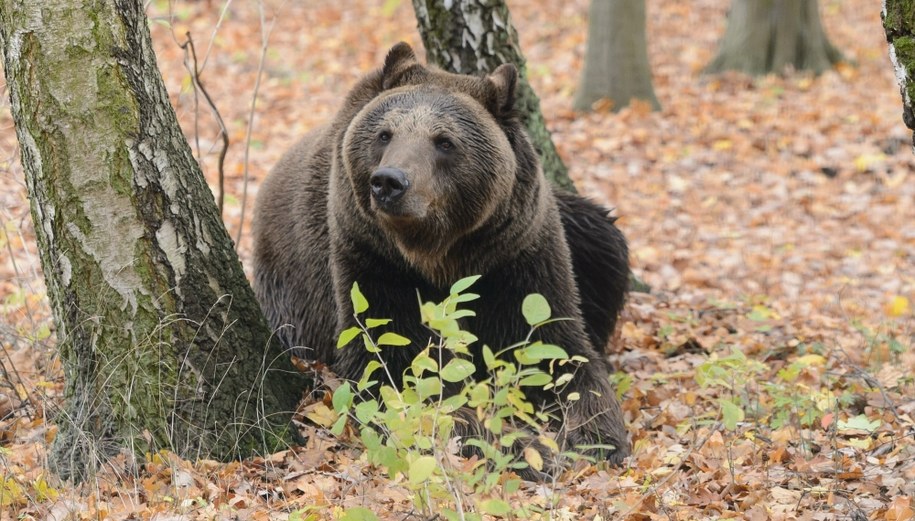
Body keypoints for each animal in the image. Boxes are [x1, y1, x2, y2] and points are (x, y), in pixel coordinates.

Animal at [254, 43, 632, 468]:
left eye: (444, 141)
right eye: (384, 134)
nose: (389, 182)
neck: (440, 255)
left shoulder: (516, 259)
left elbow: (558, 352)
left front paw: (597, 437)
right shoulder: (374, 265)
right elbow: (401, 372)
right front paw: (518, 447)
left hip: (581, 231)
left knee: (605, 245)